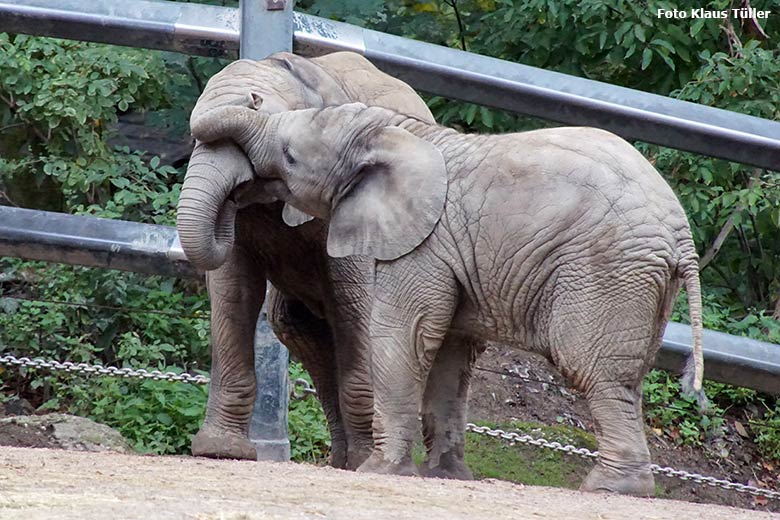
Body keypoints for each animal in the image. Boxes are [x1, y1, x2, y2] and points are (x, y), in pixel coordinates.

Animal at [177, 51, 478, 476]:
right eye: (195, 142)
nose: (249, 101)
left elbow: (357, 305)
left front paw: (367, 461)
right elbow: (233, 291)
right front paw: (220, 451)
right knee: (298, 328)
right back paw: (340, 461)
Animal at [190, 100, 708, 496]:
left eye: (290, 156)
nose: (253, 96)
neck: (395, 131)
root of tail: (682, 235)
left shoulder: (423, 245)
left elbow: (404, 335)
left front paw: (381, 471)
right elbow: (449, 354)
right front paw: (447, 476)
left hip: (607, 272)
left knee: (596, 372)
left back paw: (609, 489)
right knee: (628, 379)